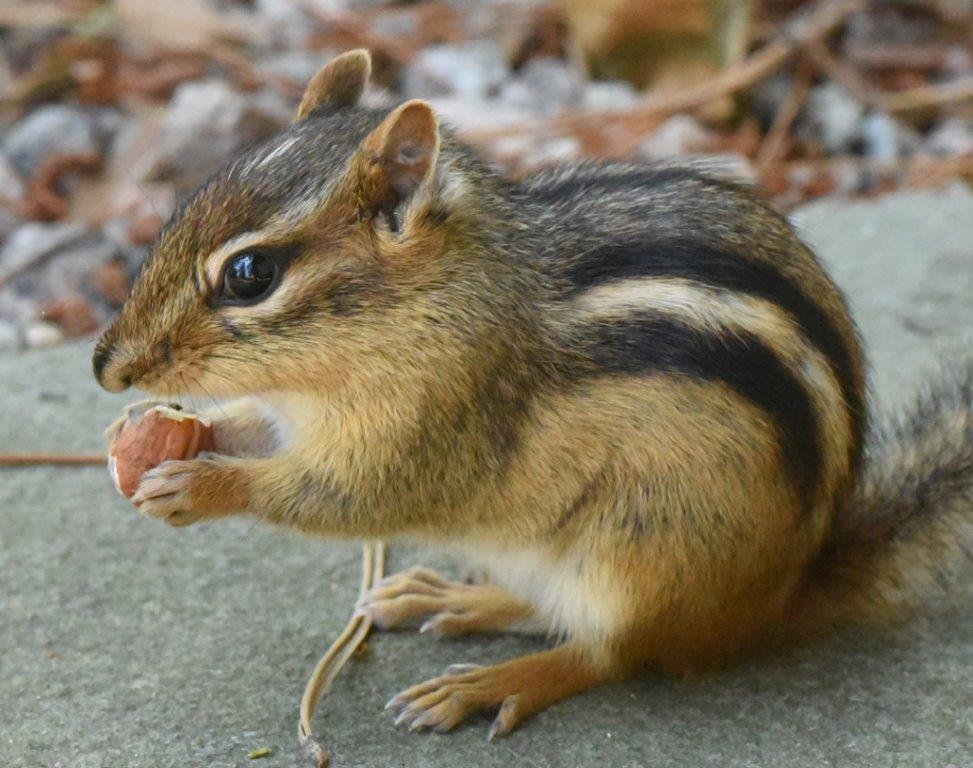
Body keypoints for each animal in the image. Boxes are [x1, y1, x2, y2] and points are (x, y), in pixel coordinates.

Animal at [93, 50, 973, 739]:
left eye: (250, 275)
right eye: (181, 208)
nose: (107, 367)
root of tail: (781, 592)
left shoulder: (436, 428)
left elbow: (350, 496)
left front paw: (202, 485)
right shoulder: (301, 415)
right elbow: (256, 431)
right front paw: (174, 436)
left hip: (642, 548)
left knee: (610, 652)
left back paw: (495, 683)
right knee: (550, 610)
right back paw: (455, 599)